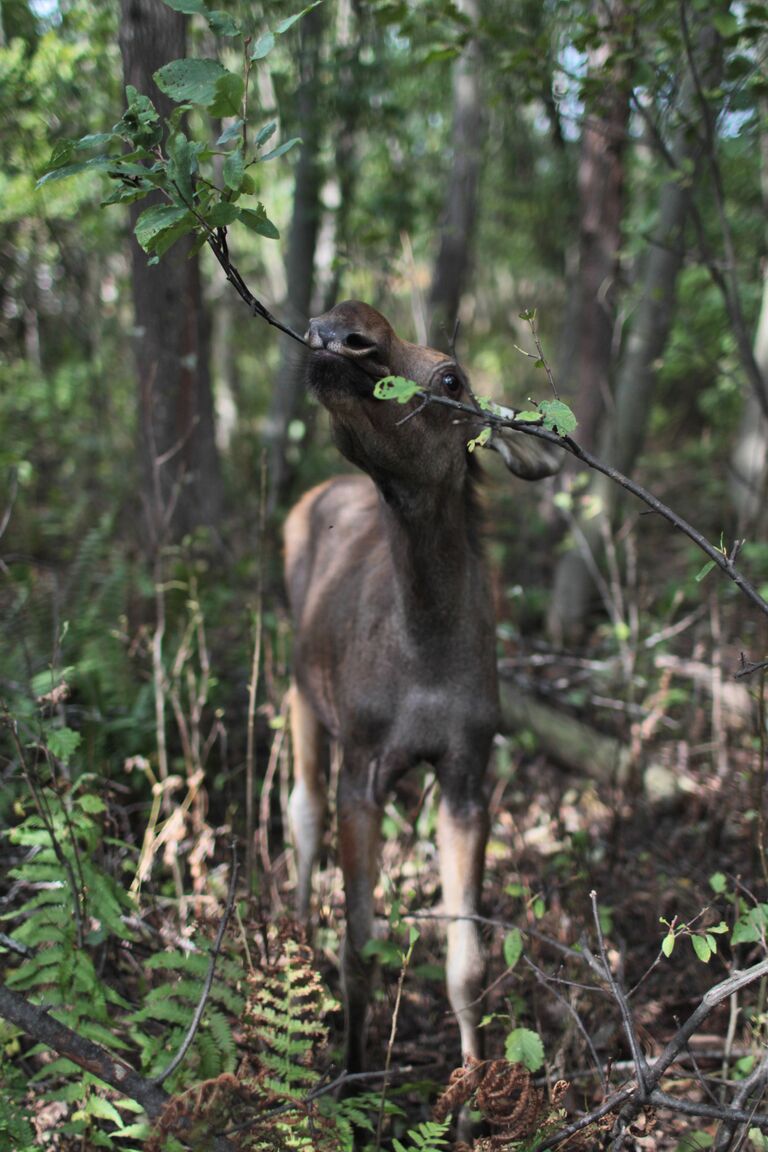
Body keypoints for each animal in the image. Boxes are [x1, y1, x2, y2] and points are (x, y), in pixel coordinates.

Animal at [285, 301, 561, 1073]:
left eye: (452, 379)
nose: (343, 327)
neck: (428, 649)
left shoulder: (467, 773)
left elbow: (468, 966)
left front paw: (474, 1083)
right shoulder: (361, 769)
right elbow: (359, 949)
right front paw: (350, 1073)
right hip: (301, 694)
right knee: (301, 809)